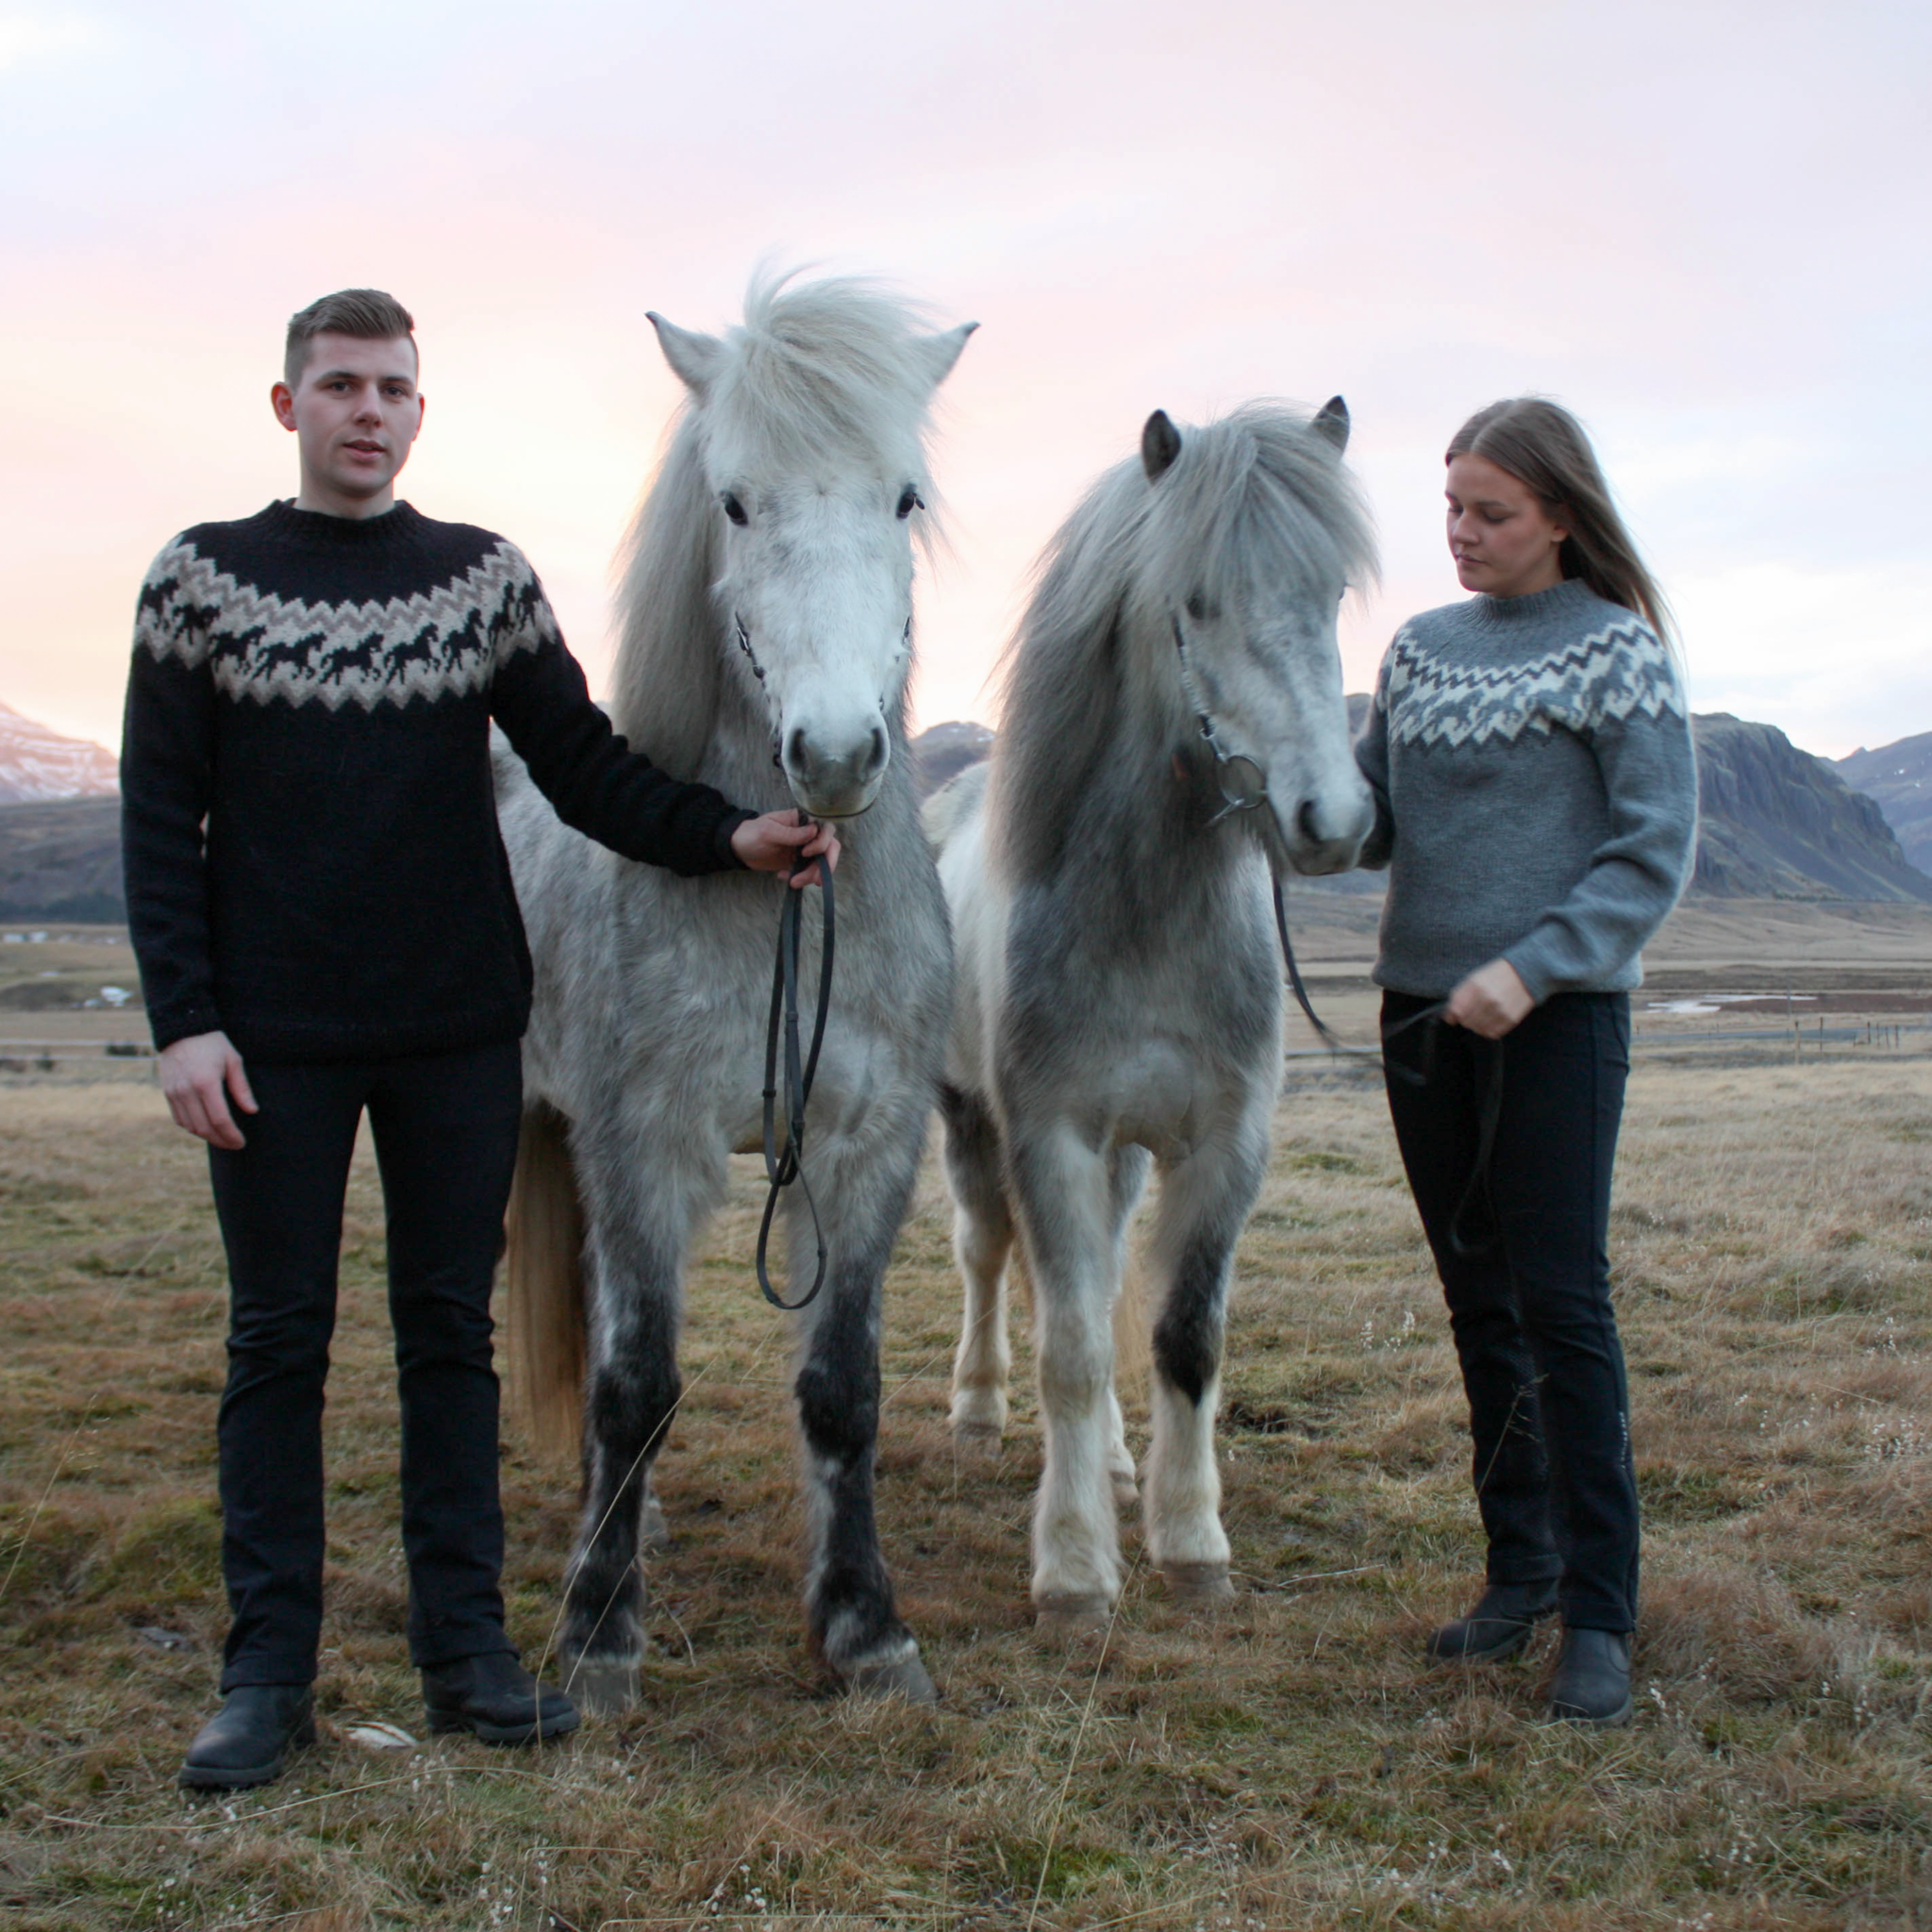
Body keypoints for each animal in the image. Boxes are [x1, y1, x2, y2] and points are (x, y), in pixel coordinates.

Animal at [494, 276, 974, 1708]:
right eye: (736, 503)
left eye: (902, 497)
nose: (834, 755)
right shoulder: (641, 1145)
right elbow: (636, 1381)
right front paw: (600, 1634)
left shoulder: (867, 1154)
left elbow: (842, 1390)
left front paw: (865, 1627)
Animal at [926, 400, 1377, 1629]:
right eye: (1196, 599)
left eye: (1329, 591)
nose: (1330, 819)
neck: (1145, 920)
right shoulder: (1047, 1137)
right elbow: (1073, 1346)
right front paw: (1076, 1569)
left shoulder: (1221, 1143)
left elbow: (1183, 1336)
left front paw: (1188, 1540)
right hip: (970, 1121)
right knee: (987, 1259)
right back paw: (977, 1409)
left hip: (1126, 1155)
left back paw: (1123, 1462)